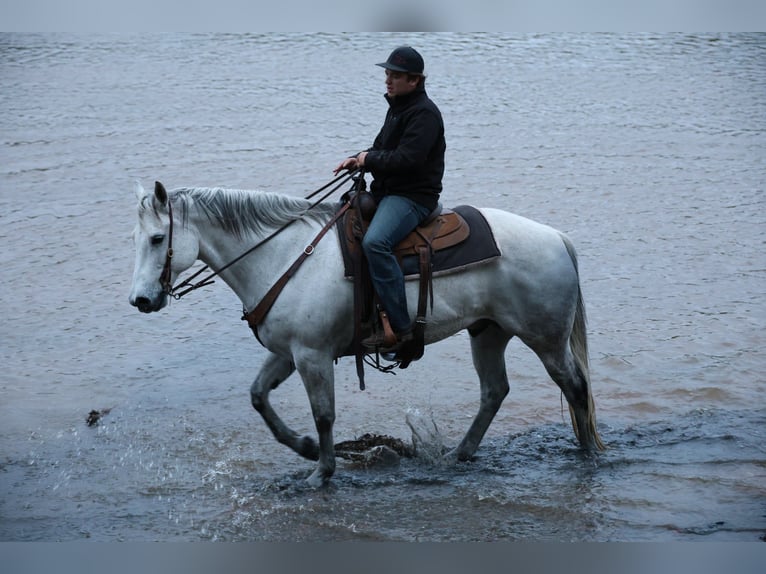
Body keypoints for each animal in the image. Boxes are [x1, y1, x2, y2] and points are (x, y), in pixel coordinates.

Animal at [129, 180, 604, 486]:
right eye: (137, 237)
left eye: (156, 239)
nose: (140, 300)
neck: (283, 255)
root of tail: (557, 238)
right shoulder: (288, 352)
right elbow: (259, 397)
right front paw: (304, 447)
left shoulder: (313, 354)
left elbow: (324, 414)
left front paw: (320, 472)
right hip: (488, 332)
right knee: (495, 391)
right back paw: (459, 453)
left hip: (545, 338)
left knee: (575, 386)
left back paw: (587, 454)